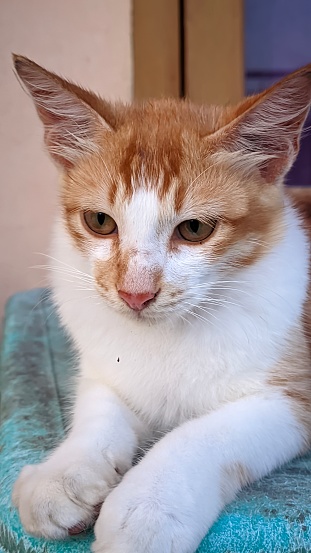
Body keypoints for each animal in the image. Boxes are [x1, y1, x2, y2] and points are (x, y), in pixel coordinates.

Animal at [11, 55, 311, 552]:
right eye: (99, 221)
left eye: (194, 229)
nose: (134, 293)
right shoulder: (105, 366)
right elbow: (98, 407)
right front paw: (63, 473)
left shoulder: (293, 396)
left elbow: (203, 433)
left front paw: (149, 506)